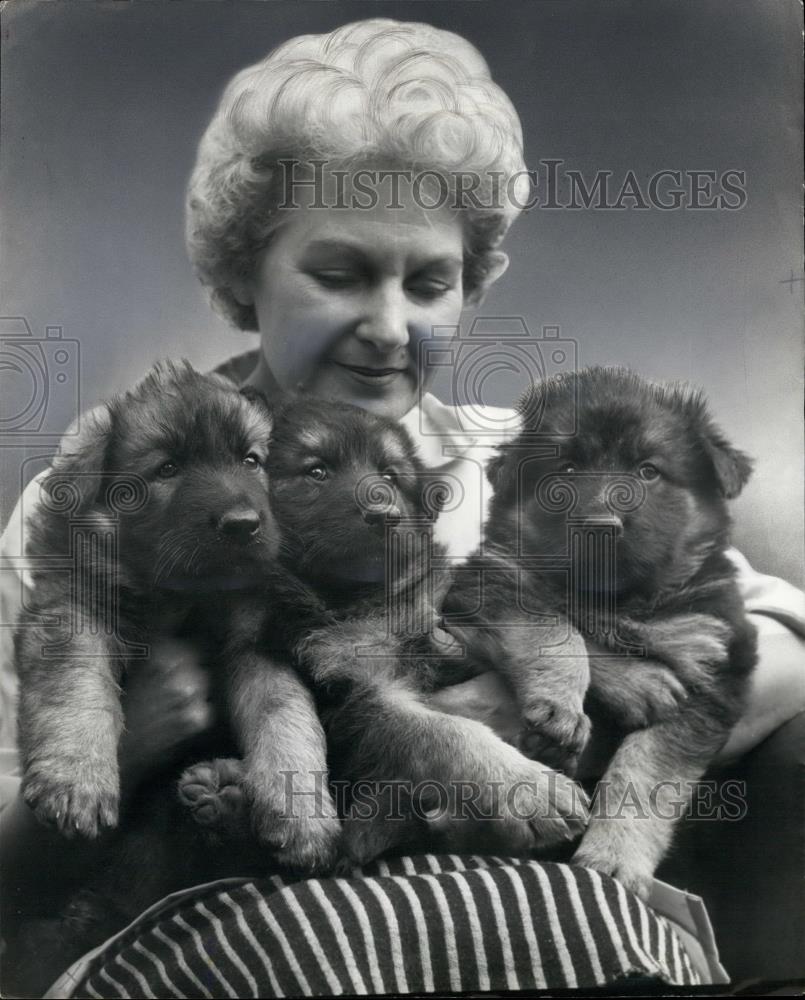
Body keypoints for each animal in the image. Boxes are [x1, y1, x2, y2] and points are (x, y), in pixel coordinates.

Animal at [16, 364, 336, 872]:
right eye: (167, 469)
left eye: (251, 461)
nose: (243, 524)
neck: (181, 595)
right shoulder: (72, 612)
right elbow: (77, 685)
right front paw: (76, 778)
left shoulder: (256, 639)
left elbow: (285, 713)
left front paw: (301, 813)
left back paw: (222, 796)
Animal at [442, 370, 756, 900]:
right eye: (567, 470)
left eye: (649, 471)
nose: (599, 525)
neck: (613, 600)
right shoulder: (494, 581)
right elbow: (560, 629)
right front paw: (579, 698)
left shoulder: (710, 668)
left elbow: (646, 777)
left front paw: (614, 857)